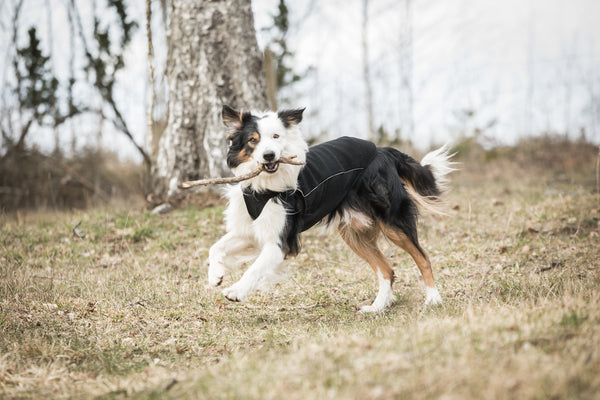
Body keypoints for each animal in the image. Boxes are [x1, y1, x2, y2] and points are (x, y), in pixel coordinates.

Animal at [207, 105, 454, 312]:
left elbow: (255, 268)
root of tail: (382, 150)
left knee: (423, 257)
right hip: (353, 231)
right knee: (387, 270)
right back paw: (376, 308)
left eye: (276, 136)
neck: (264, 185)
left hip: (391, 221)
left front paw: (236, 291)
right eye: (252, 140)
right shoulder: (249, 230)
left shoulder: (280, 241)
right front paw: (215, 275)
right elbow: (216, 247)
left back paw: (433, 298)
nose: (269, 155)